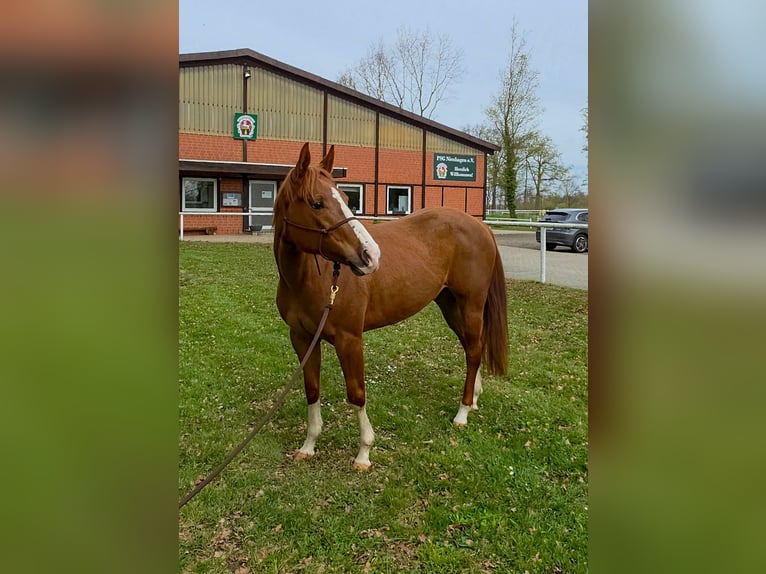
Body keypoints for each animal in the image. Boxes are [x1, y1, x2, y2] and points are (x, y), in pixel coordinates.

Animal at [273, 142, 508, 469]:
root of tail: (480, 225)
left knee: (474, 351)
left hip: (470, 305)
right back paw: (473, 398)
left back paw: (462, 413)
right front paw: (308, 446)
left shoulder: (349, 339)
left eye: (347, 198)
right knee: (471, 348)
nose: (370, 255)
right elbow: (312, 390)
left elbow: (357, 394)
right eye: (317, 203)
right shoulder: (302, 338)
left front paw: (364, 453)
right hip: (450, 306)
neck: (310, 279)